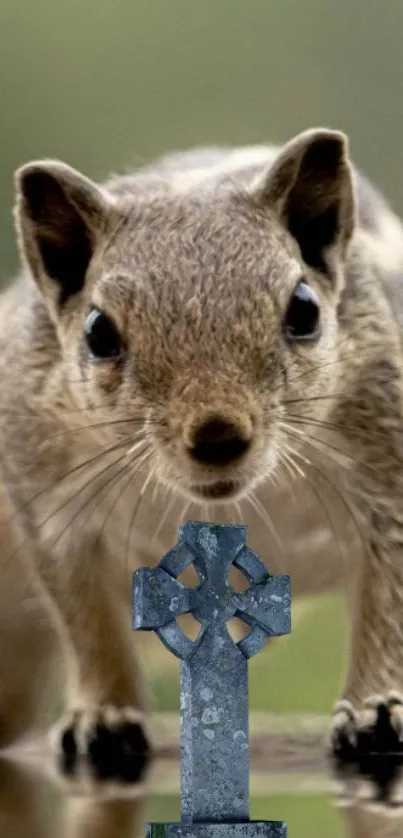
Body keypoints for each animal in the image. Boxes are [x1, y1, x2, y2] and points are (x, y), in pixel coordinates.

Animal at [2, 128, 403, 772]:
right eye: (97, 332)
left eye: (305, 309)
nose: (218, 436)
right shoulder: (48, 503)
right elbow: (87, 621)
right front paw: (104, 716)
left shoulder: (384, 469)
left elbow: (386, 598)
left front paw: (376, 708)